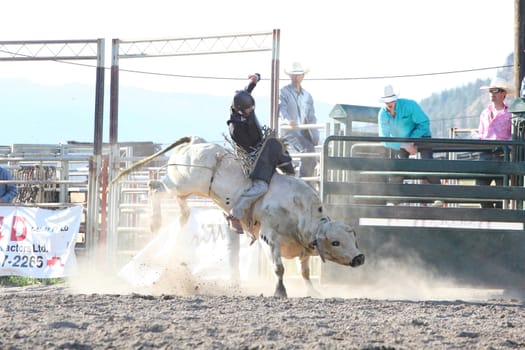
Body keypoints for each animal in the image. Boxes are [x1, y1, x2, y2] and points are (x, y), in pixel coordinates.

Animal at [112, 137, 362, 298]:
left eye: (353, 238)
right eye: (336, 242)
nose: (359, 258)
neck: (299, 210)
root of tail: (195, 141)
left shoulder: (302, 249)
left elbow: (305, 272)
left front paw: (313, 291)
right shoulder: (269, 238)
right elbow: (279, 268)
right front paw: (280, 292)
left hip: (185, 189)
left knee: (179, 204)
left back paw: (181, 218)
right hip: (179, 182)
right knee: (154, 187)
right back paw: (155, 222)